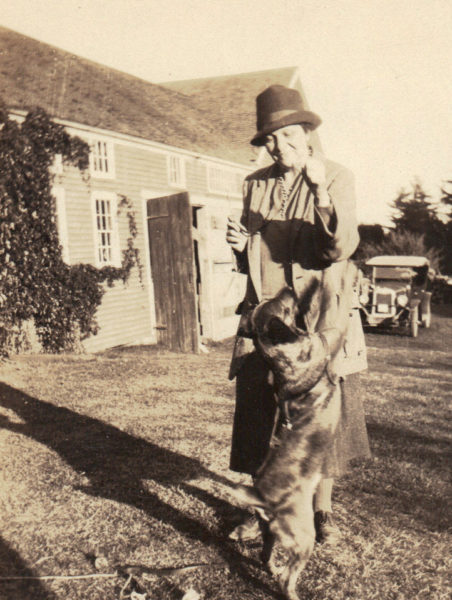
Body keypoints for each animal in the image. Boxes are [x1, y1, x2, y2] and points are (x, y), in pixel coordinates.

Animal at [233, 262, 356, 600]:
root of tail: (264, 499)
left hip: (270, 534)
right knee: (288, 579)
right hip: (304, 540)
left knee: (265, 555)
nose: (289, 288)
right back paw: (290, 589)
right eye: (286, 308)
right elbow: (333, 301)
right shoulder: (329, 336)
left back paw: (271, 566)